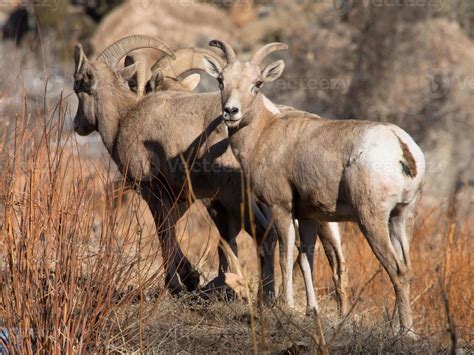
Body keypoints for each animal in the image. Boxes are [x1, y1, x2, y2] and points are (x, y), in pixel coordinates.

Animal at [204, 40, 426, 336]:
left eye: (257, 83)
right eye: (221, 80)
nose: (231, 112)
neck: (263, 134)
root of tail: (401, 145)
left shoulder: (281, 208)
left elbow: (286, 255)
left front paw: (286, 306)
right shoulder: (309, 216)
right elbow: (306, 259)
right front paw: (312, 310)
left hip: (372, 220)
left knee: (398, 270)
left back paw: (406, 333)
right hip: (401, 218)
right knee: (408, 269)